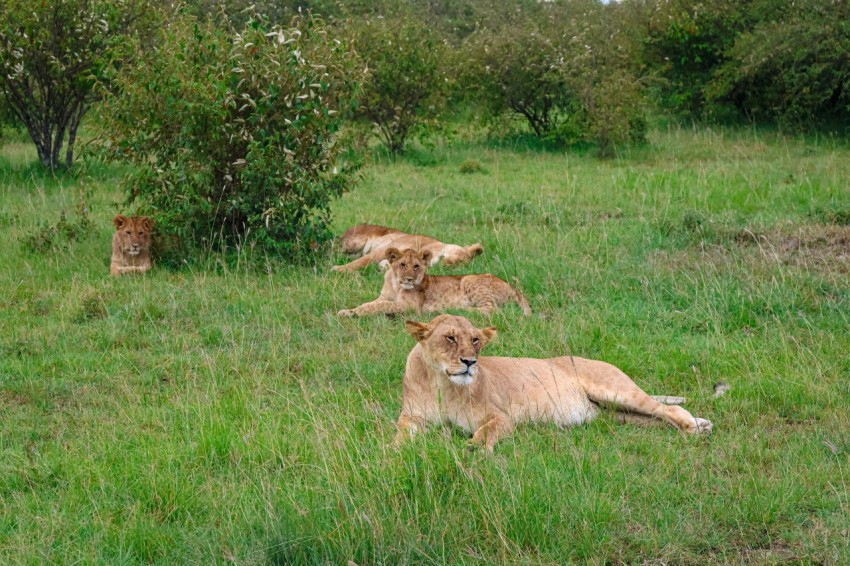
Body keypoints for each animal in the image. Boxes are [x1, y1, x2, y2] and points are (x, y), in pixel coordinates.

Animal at [332, 224, 484, 272]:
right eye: (457, 260)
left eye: (456, 266)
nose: (445, 265)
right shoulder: (380, 251)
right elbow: (360, 262)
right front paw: (338, 269)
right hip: (352, 244)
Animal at [332, 250, 528, 320]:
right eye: (403, 264)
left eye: (417, 266)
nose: (410, 279)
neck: (395, 283)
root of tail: (511, 286)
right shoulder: (384, 297)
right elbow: (372, 303)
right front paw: (348, 312)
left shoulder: (410, 306)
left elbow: (380, 306)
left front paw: (357, 312)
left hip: (469, 280)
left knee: (491, 309)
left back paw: (453, 310)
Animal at [392, 316, 708, 452]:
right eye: (450, 338)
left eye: (476, 340)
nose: (470, 362)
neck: (441, 383)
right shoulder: (412, 417)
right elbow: (401, 435)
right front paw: (393, 451)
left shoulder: (502, 418)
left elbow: (485, 432)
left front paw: (473, 448)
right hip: (615, 415)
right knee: (654, 419)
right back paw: (700, 425)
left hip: (616, 391)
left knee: (666, 410)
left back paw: (695, 427)